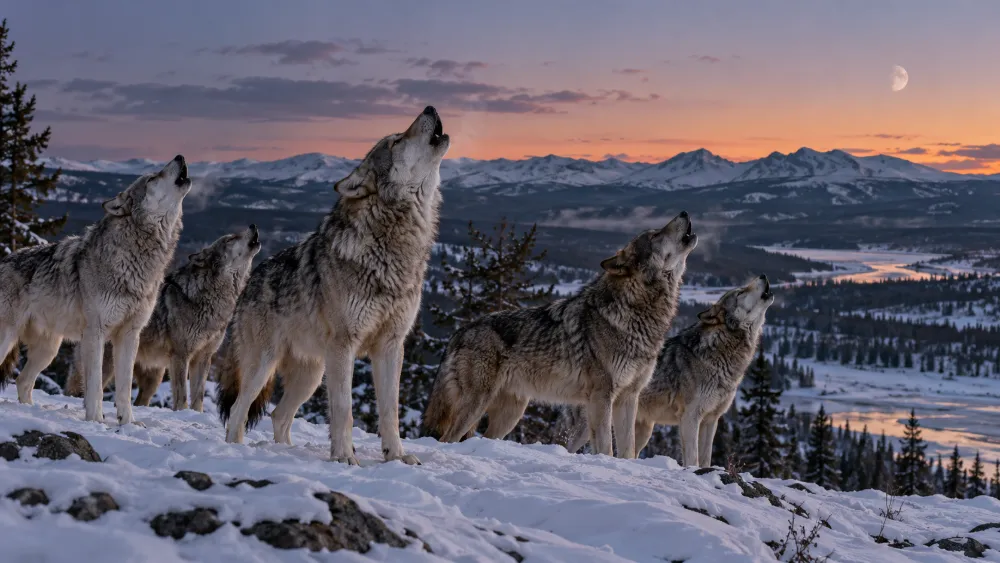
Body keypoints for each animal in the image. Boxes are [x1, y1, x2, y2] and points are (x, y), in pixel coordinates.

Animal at [0, 156, 191, 425]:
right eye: (153, 178)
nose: (180, 157)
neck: (135, 262)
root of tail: (2, 262)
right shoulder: (95, 333)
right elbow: (96, 385)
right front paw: (96, 420)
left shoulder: (129, 335)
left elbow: (124, 388)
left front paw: (127, 422)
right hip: (8, 338)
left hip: (48, 351)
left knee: (22, 381)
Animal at [64, 225, 261, 411]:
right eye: (230, 239)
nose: (253, 226)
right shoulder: (181, 354)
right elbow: (182, 395)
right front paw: (183, 413)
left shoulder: (203, 357)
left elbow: (198, 397)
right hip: (106, 366)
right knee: (78, 390)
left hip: (153, 377)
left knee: (139, 400)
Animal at [216, 106, 448, 466]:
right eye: (396, 141)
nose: (430, 108)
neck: (394, 250)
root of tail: (250, 279)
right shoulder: (345, 346)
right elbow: (344, 410)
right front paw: (344, 458)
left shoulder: (391, 347)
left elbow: (390, 412)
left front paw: (396, 456)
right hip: (265, 366)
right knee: (239, 411)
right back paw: (237, 449)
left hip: (311, 377)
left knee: (278, 416)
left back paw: (285, 451)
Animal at [421, 212, 698, 459]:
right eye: (655, 235)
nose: (684, 212)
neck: (636, 314)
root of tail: (459, 332)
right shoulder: (601, 397)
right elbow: (606, 447)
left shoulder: (629, 398)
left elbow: (628, 451)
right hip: (478, 405)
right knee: (447, 438)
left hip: (511, 414)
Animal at [562, 275, 774, 466]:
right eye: (741, 292)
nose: (763, 275)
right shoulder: (690, 416)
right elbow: (693, 459)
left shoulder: (711, 420)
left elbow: (706, 459)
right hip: (591, 422)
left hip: (642, 429)